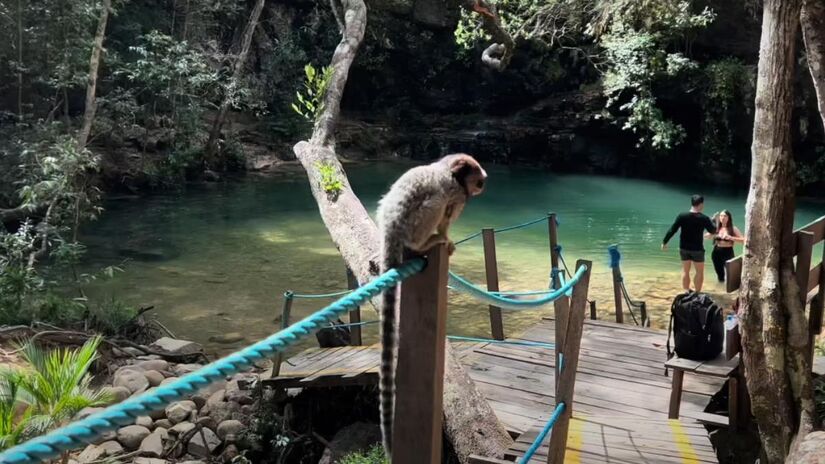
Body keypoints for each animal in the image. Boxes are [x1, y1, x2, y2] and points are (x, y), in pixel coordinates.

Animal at [374, 153, 486, 456]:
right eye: (478, 181)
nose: (481, 188)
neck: (447, 169)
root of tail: (390, 230)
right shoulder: (457, 194)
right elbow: (447, 216)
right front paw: (445, 238)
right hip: (413, 224)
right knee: (435, 203)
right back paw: (425, 243)